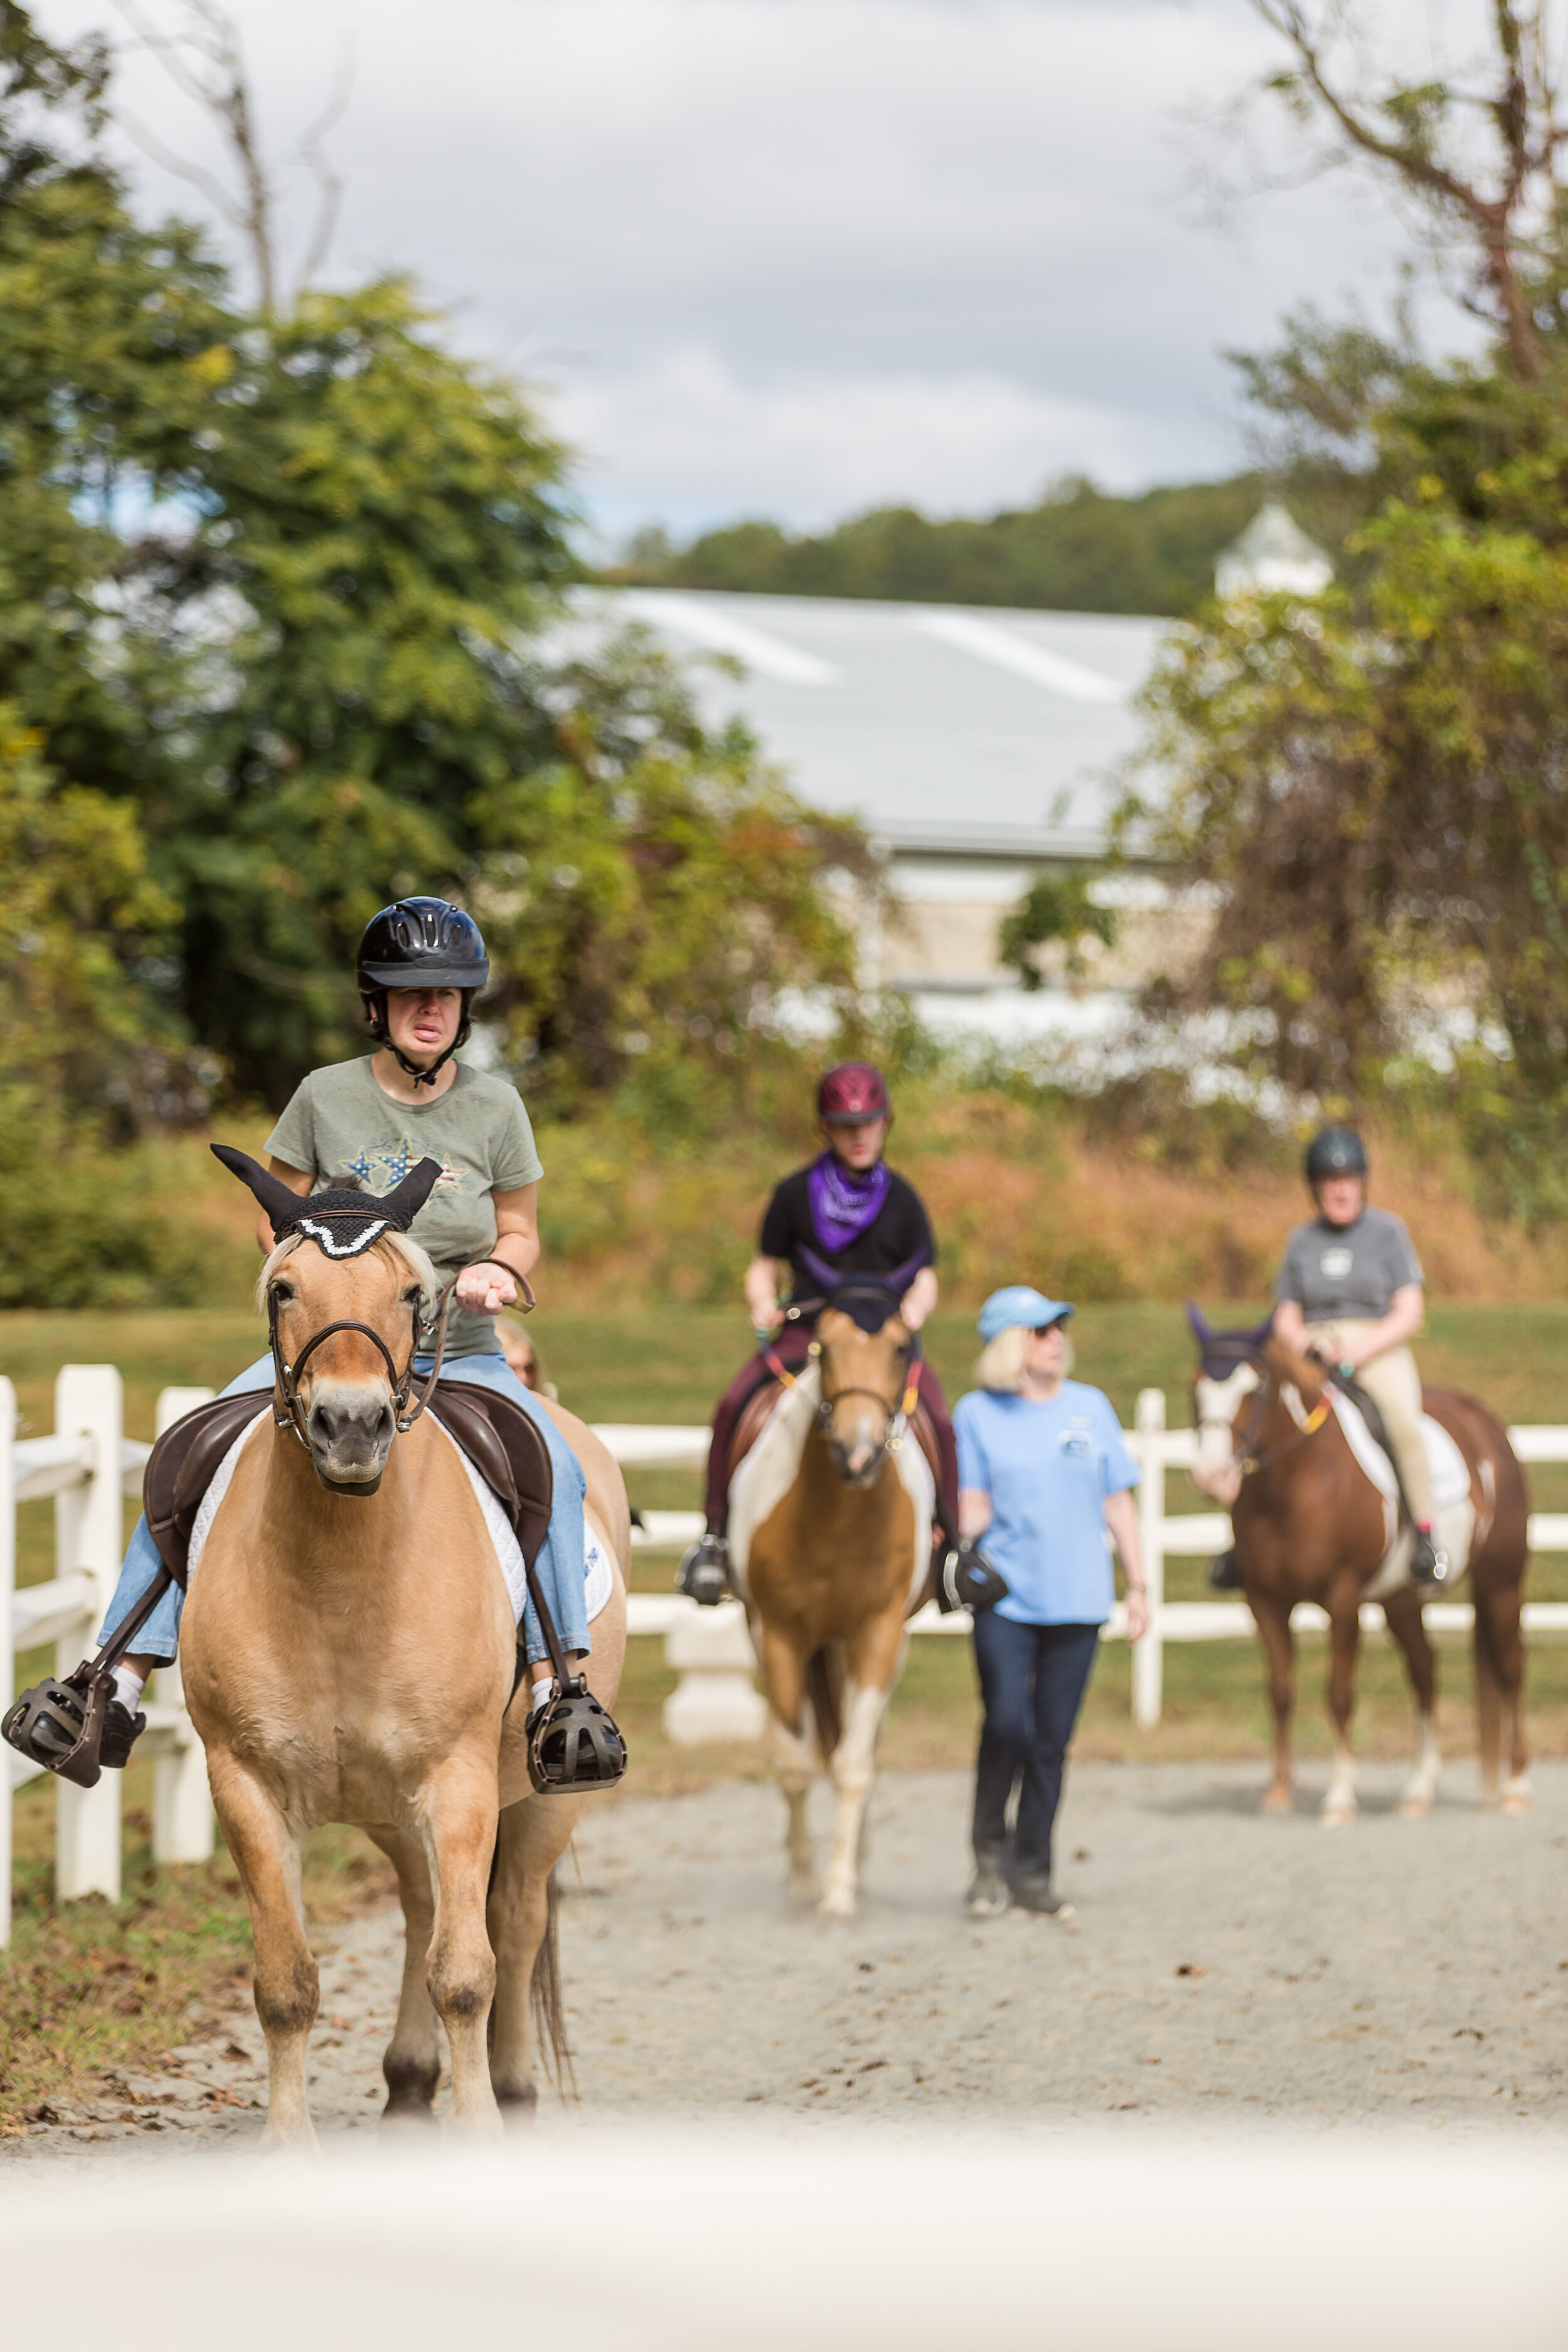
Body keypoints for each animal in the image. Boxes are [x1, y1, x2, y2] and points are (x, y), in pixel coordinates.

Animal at [719, 1279, 931, 1919]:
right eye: (825, 1348)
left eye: (898, 1348)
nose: (859, 1455)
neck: (838, 1516)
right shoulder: (779, 1635)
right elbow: (793, 1764)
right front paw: (803, 1882)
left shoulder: (878, 1635)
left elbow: (855, 1764)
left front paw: (840, 1890)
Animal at [1185, 1317, 1523, 1825]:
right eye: (1197, 1387)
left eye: (1254, 1389)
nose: (1212, 1476)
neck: (1294, 1483)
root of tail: (1486, 1421)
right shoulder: (1264, 1602)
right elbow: (1281, 1693)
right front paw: (1278, 1793)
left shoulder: (1342, 1601)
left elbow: (1339, 1695)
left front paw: (1340, 1798)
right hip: (1401, 1602)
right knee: (1425, 1671)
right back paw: (1418, 1790)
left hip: (1502, 1584)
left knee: (1510, 1668)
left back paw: (1516, 1788)